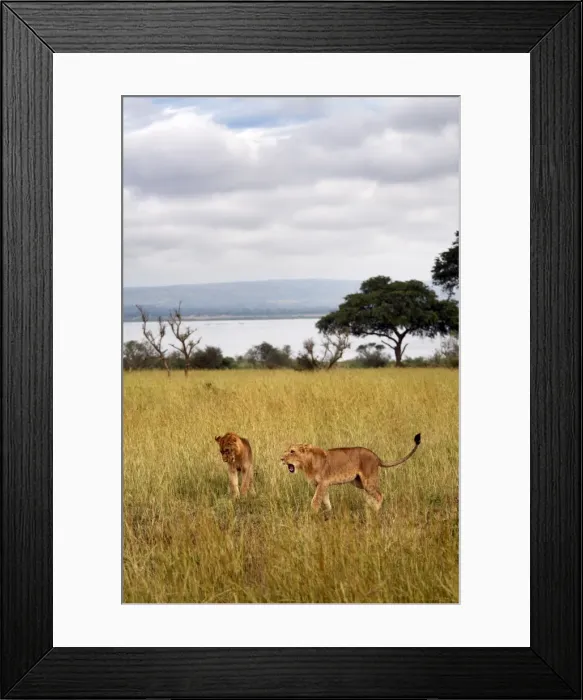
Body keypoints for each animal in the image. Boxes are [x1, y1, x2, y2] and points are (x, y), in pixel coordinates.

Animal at [280, 433, 421, 514]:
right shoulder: (320, 485)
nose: (281, 459)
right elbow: (325, 499)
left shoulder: (323, 482)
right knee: (372, 495)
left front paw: (312, 514)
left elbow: (315, 500)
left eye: (292, 451)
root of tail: (376, 456)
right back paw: (369, 507)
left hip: (368, 481)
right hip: (359, 482)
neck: (306, 464)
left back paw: (375, 511)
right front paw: (329, 512)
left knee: (380, 495)